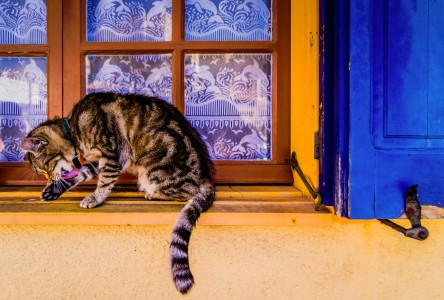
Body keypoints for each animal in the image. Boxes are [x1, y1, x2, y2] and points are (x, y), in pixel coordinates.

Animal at [20, 92, 215, 294]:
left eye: (44, 168)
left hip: (154, 171)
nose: (49, 178)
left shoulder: (111, 156)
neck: (74, 127)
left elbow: (104, 182)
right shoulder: (97, 162)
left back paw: (152, 193)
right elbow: (81, 173)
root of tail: (206, 177)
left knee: (188, 191)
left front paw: (94, 198)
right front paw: (53, 190)